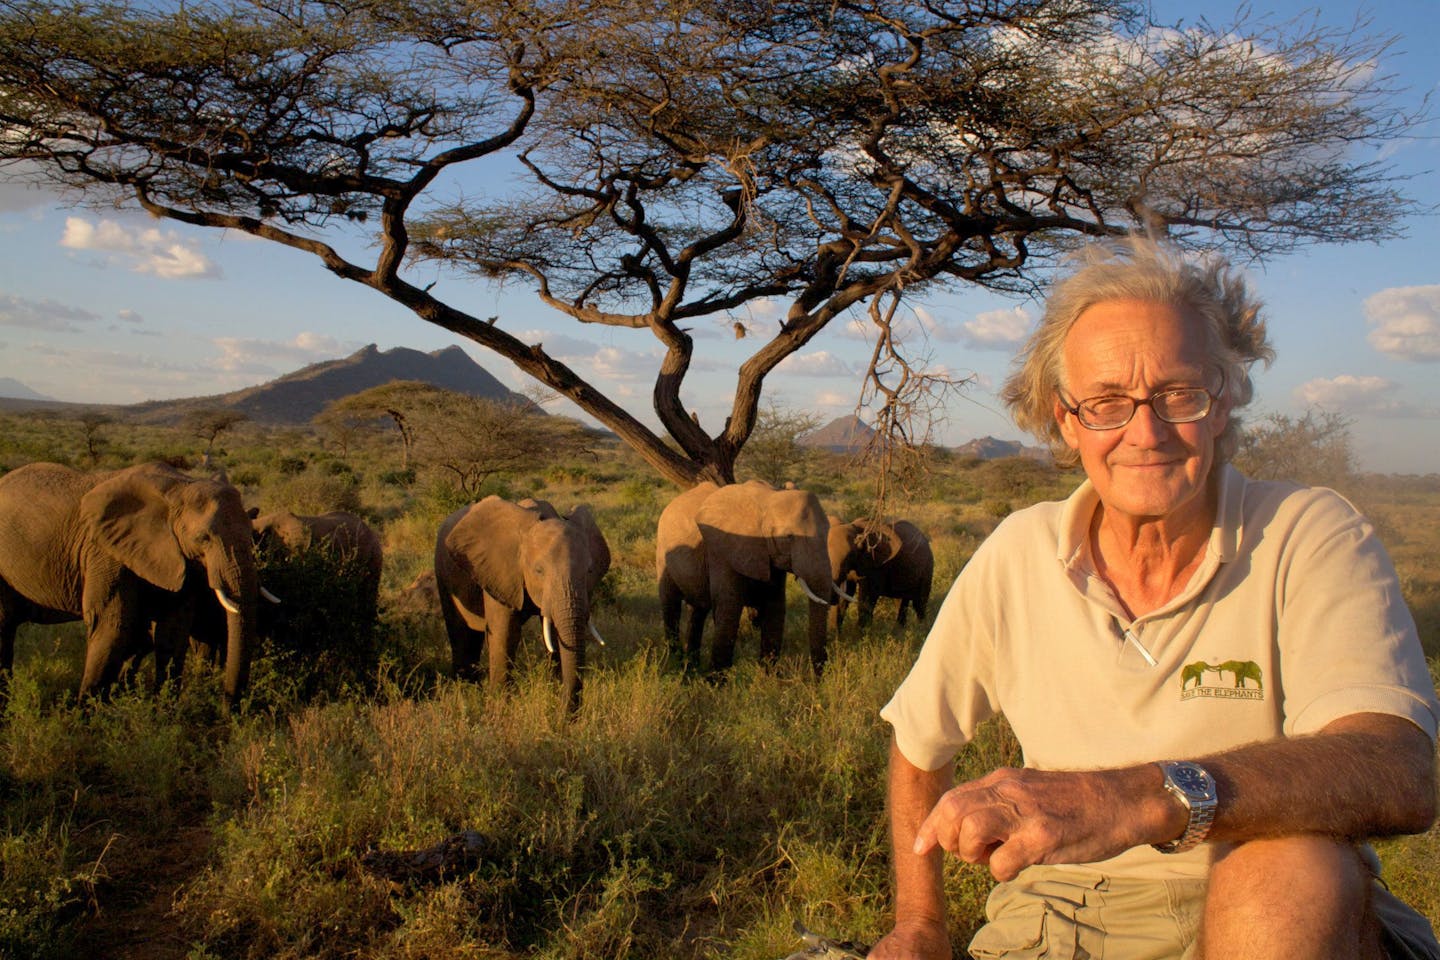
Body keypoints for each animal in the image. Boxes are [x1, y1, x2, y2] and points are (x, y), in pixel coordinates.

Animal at [0, 461, 260, 706]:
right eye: (203, 538)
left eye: (252, 533)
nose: (228, 708)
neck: (179, 487)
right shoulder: (106, 553)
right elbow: (113, 625)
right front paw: (87, 714)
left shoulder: (178, 558)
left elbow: (173, 631)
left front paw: (164, 711)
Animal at [434, 496, 610, 714]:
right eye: (539, 571)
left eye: (589, 571)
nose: (563, 716)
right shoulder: (500, 571)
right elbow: (505, 633)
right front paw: (499, 711)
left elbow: (555, 635)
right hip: (443, 573)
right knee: (461, 634)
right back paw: (466, 694)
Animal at [655, 480, 844, 675]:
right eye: (788, 537)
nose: (819, 678)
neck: (769, 499)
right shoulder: (723, 552)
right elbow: (729, 607)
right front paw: (715, 680)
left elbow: (775, 606)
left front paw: (768, 678)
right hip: (662, 551)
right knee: (671, 604)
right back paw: (677, 665)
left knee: (698, 609)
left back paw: (691, 668)